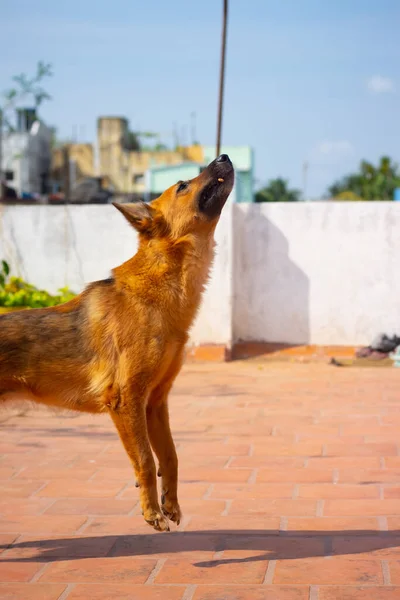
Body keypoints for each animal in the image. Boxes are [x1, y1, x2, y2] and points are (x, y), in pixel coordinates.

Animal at [0, 154, 234, 528]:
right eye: (183, 185)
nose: (223, 157)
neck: (161, 286)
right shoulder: (126, 400)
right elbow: (145, 460)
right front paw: (151, 511)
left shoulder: (155, 402)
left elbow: (170, 457)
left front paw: (170, 503)